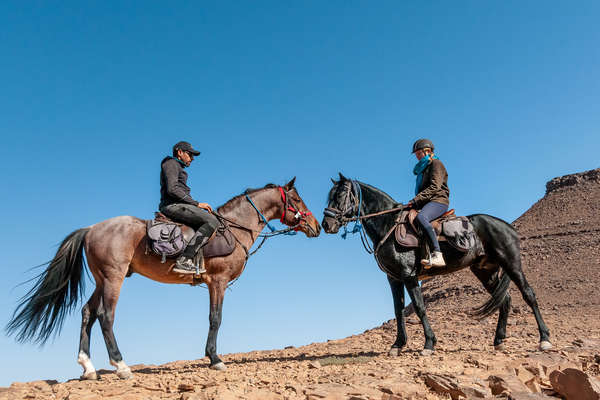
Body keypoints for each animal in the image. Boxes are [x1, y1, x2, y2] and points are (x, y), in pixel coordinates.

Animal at [7, 177, 322, 378]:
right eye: (297, 199)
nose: (316, 226)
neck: (235, 227)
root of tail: (92, 227)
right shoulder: (217, 282)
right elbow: (215, 319)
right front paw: (214, 359)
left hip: (101, 279)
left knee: (88, 313)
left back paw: (88, 368)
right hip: (113, 278)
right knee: (106, 316)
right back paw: (121, 366)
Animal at [322, 173, 552, 354]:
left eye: (340, 195)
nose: (326, 224)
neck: (388, 224)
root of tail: (507, 226)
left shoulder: (408, 276)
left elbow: (420, 307)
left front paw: (429, 344)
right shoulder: (393, 278)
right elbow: (398, 310)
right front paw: (398, 345)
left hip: (512, 264)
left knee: (528, 295)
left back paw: (544, 340)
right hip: (485, 271)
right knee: (505, 300)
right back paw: (498, 341)